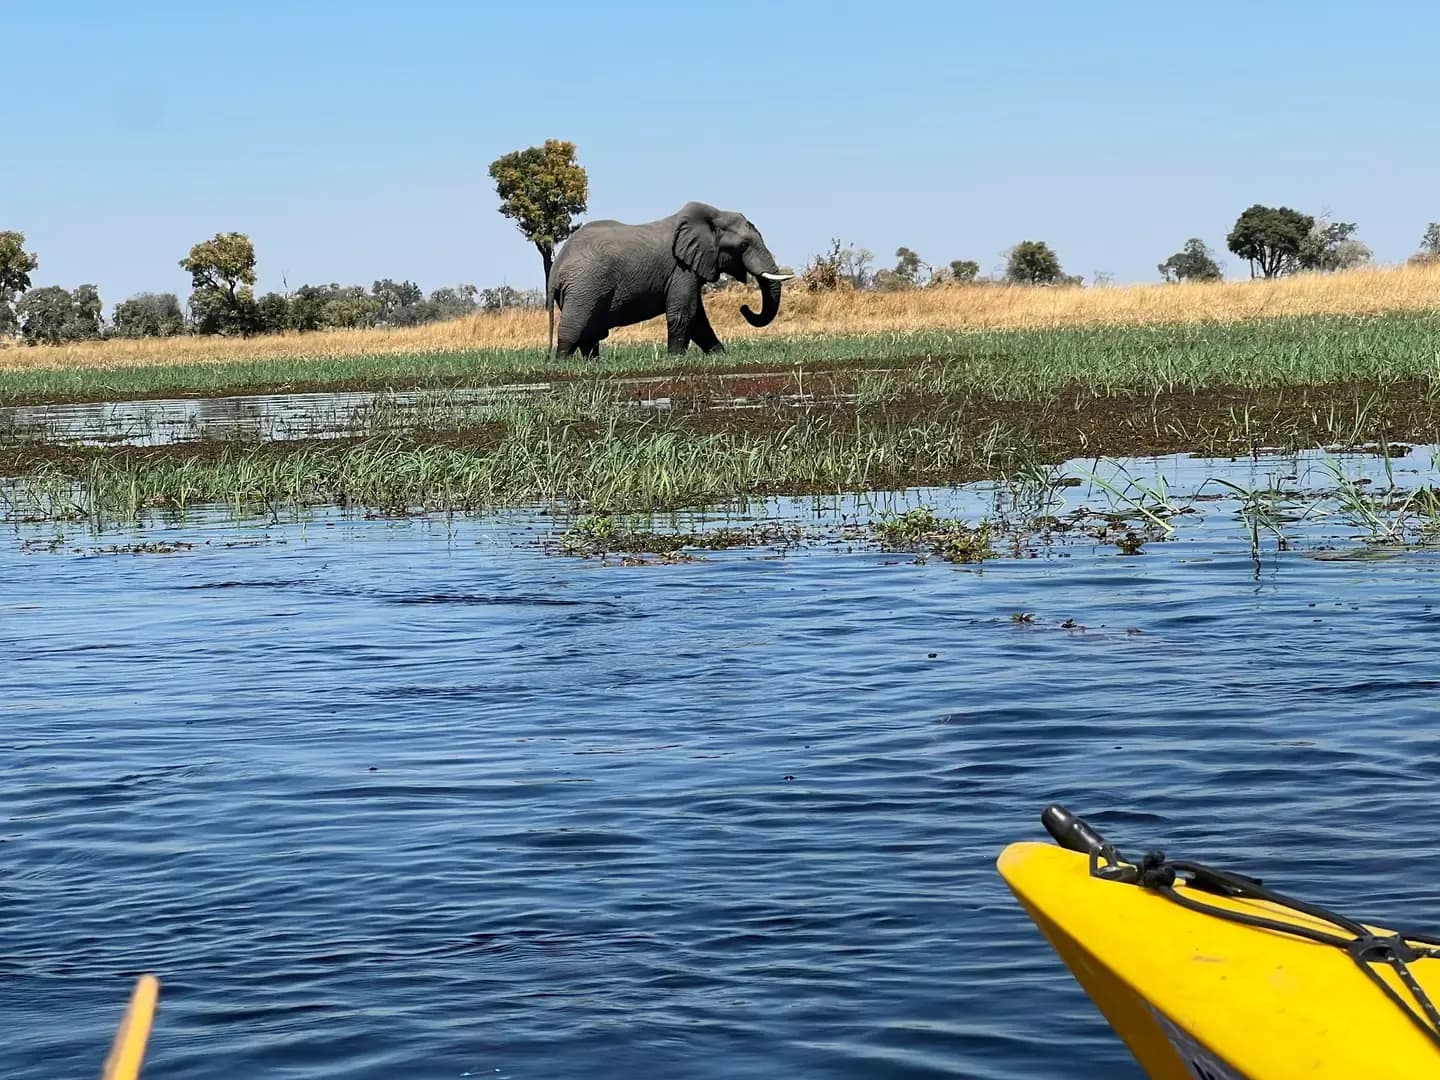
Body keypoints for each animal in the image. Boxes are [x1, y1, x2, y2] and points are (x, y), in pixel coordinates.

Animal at [546, 201, 793, 359]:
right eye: (742, 246)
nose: (744, 307)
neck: (714, 216)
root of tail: (556, 268)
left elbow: (699, 319)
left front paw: (721, 357)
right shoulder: (681, 269)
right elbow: (684, 314)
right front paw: (675, 359)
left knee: (590, 333)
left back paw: (593, 363)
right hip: (583, 288)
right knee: (574, 329)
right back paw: (562, 363)